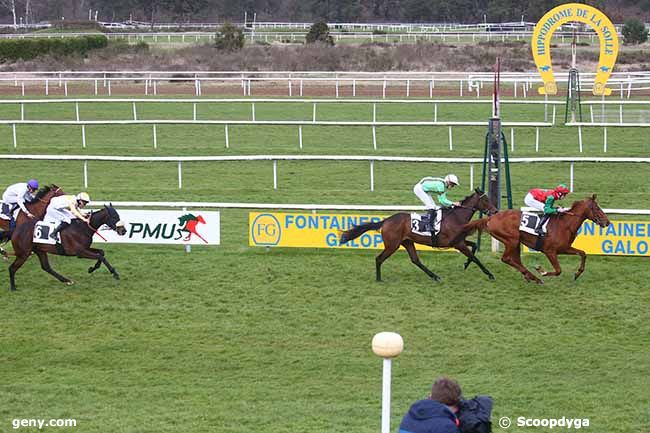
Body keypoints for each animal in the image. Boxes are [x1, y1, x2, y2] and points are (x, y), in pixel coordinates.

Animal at [336, 188, 494, 282]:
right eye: (486, 200)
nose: (495, 211)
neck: (456, 217)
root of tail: (386, 220)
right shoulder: (457, 243)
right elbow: (475, 257)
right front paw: (489, 274)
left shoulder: (459, 241)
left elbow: (474, 247)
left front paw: (466, 264)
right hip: (392, 245)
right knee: (379, 259)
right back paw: (379, 279)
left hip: (407, 242)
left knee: (415, 260)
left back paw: (435, 276)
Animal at [464, 193, 612, 282]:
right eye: (597, 208)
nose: (607, 222)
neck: (565, 224)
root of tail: (491, 218)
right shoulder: (550, 251)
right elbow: (558, 270)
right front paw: (542, 271)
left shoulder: (564, 248)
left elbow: (583, 253)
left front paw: (577, 273)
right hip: (511, 240)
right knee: (506, 259)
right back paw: (534, 277)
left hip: (515, 242)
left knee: (515, 260)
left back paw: (529, 276)